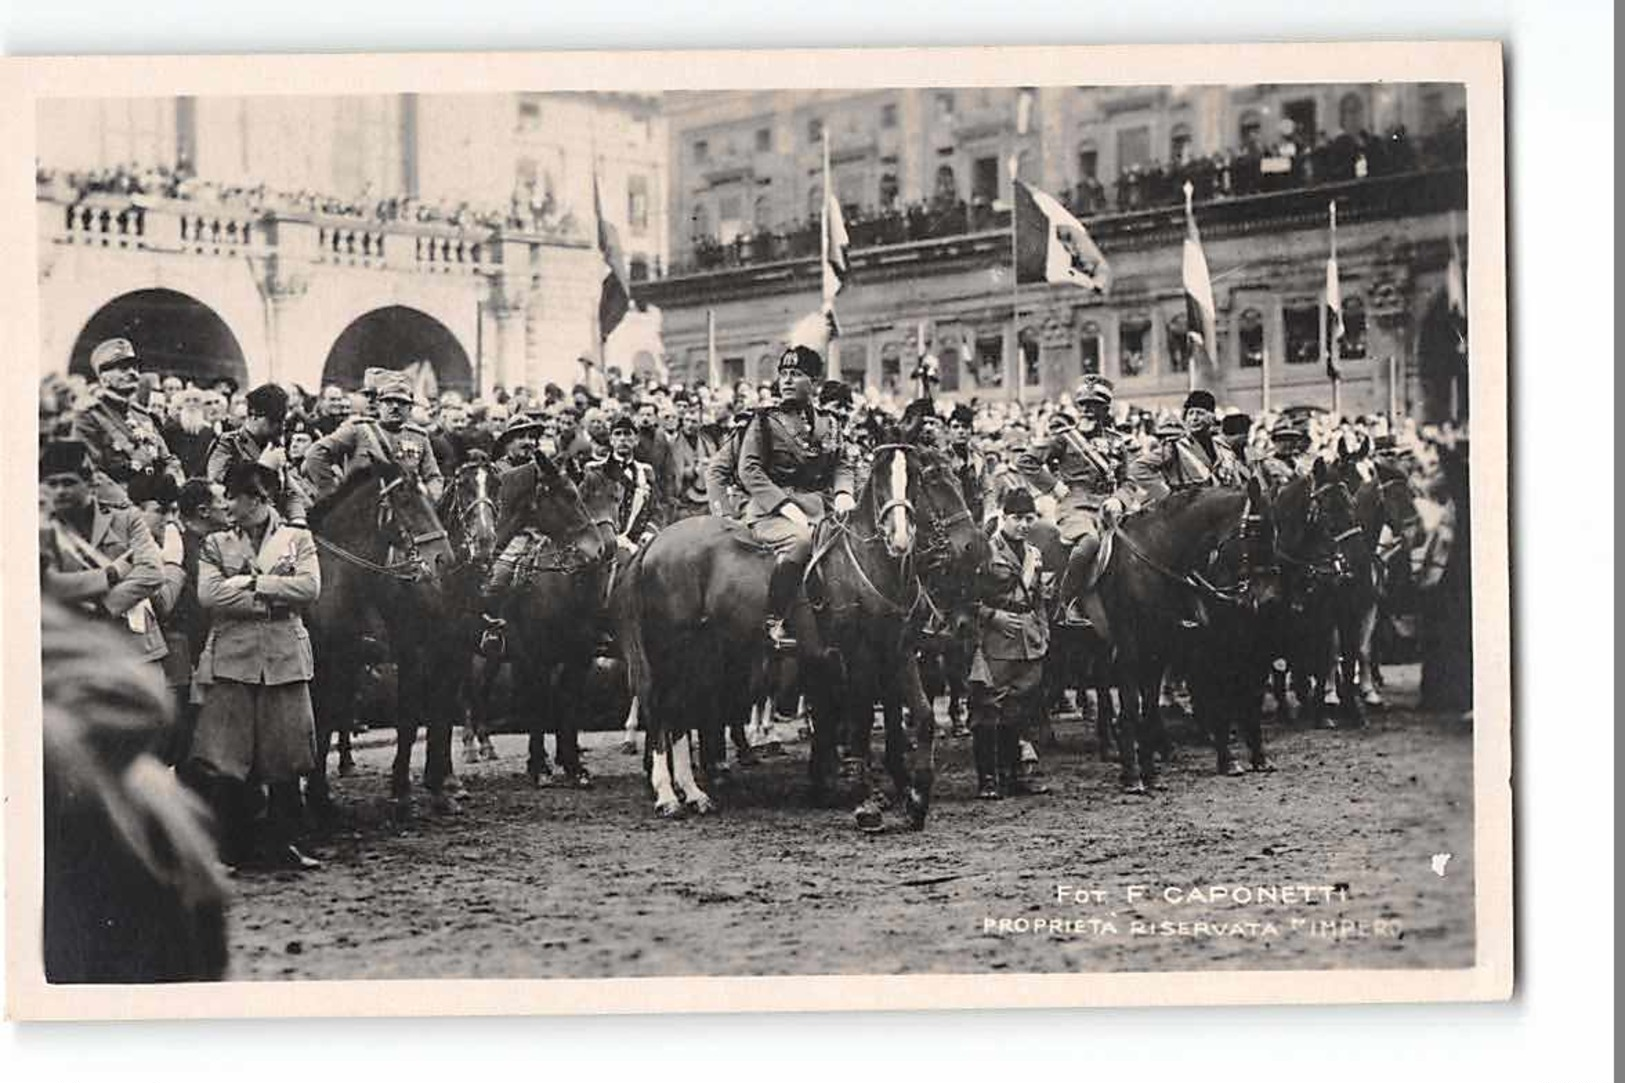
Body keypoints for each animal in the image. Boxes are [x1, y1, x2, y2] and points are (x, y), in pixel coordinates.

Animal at [303, 458, 458, 813]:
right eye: (406, 500)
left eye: (431, 499)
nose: (444, 559)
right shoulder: (327, 663)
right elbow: (321, 721)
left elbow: (409, 719)